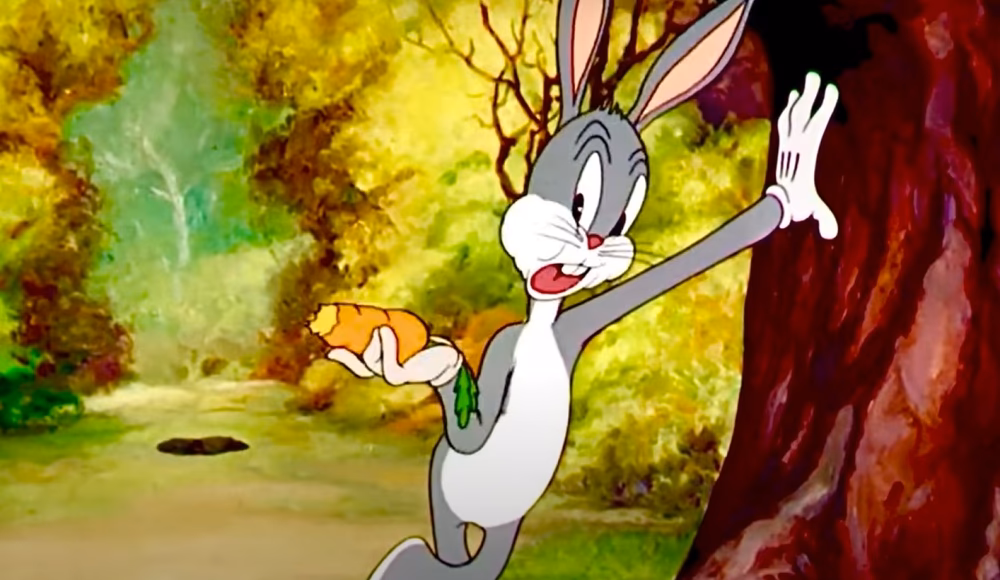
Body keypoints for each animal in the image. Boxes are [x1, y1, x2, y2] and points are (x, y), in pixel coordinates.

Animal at [327, 0, 840, 578]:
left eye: (623, 217)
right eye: (578, 198)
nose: (594, 239)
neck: (544, 324)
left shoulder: (580, 323)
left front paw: (793, 182)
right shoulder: (503, 347)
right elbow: (470, 429)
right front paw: (416, 362)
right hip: (447, 492)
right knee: (425, 550)